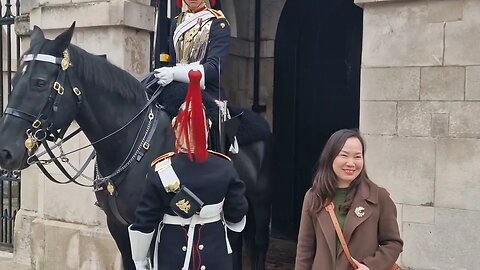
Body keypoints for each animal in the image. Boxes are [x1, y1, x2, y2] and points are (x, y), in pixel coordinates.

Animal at [0, 23, 272, 270]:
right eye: (13, 79)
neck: (129, 145)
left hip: (260, 201)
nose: (5, 152)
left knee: (259, 242)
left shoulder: (151, 224)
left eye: (39, 82)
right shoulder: (118, 226)